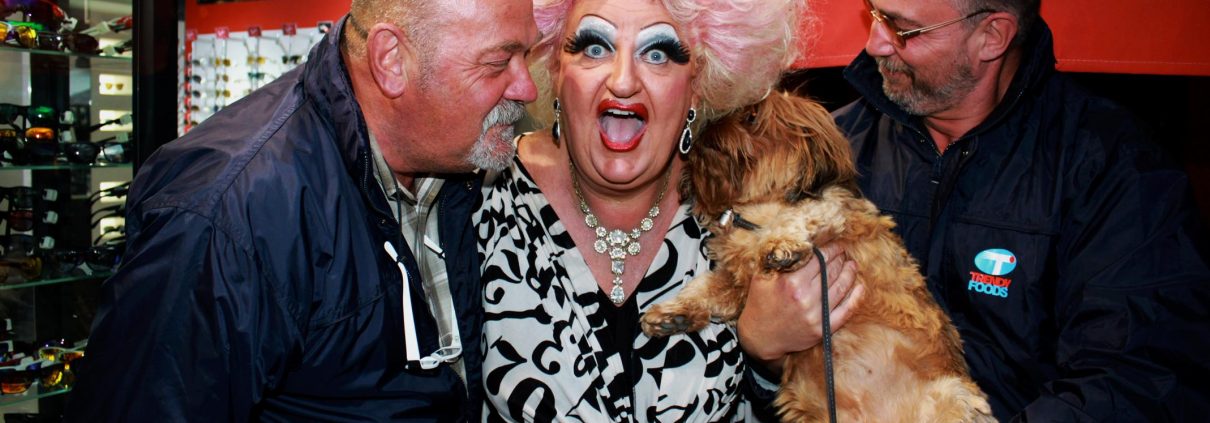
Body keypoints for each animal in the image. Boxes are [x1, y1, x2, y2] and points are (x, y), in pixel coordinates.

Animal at [640, 92, 995, 422]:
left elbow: (806, 212)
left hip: (954, 396)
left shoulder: (837, 212)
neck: (751, 215)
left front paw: (781, 243)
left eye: (751, 116)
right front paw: (673, 313)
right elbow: (704, 289)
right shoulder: (736, 283)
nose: (706, 126)